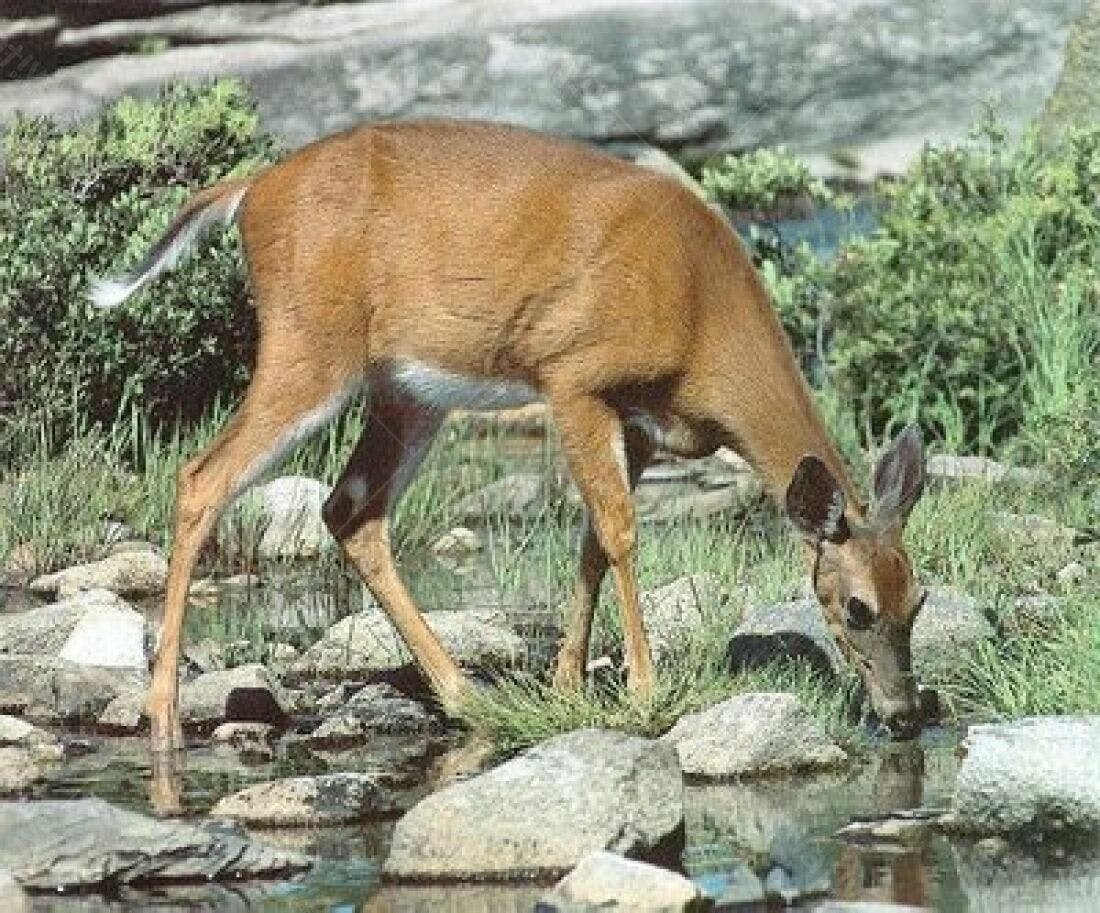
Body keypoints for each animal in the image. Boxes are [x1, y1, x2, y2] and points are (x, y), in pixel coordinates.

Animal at [90, 119, 927, 760]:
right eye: (856, 607)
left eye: (918, 597)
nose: (904, 713)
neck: (700, 316)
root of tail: (248, 191)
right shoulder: (572, 374)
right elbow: (622, 531)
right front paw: (644, 689)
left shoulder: (638, 420)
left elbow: (591, 539)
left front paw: (566, 683)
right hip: (310, 345)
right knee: (203, 476)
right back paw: (163, 714)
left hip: (407, 389)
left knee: (350, 509)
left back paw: (464, 694)